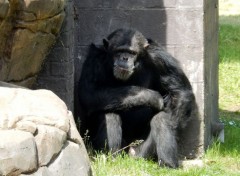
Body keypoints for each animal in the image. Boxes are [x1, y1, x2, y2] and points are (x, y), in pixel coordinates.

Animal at [79, 28, 197, 168]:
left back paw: (168, 164)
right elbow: (89, 93)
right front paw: (153, 97)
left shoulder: (160, 58)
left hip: (140, 150)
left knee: (160, 120)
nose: (124, 58)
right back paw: (112, 159)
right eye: (119, 51)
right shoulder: (94, 59)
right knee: (110, 116)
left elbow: (179, 90)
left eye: (132, 53)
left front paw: (172, 124)